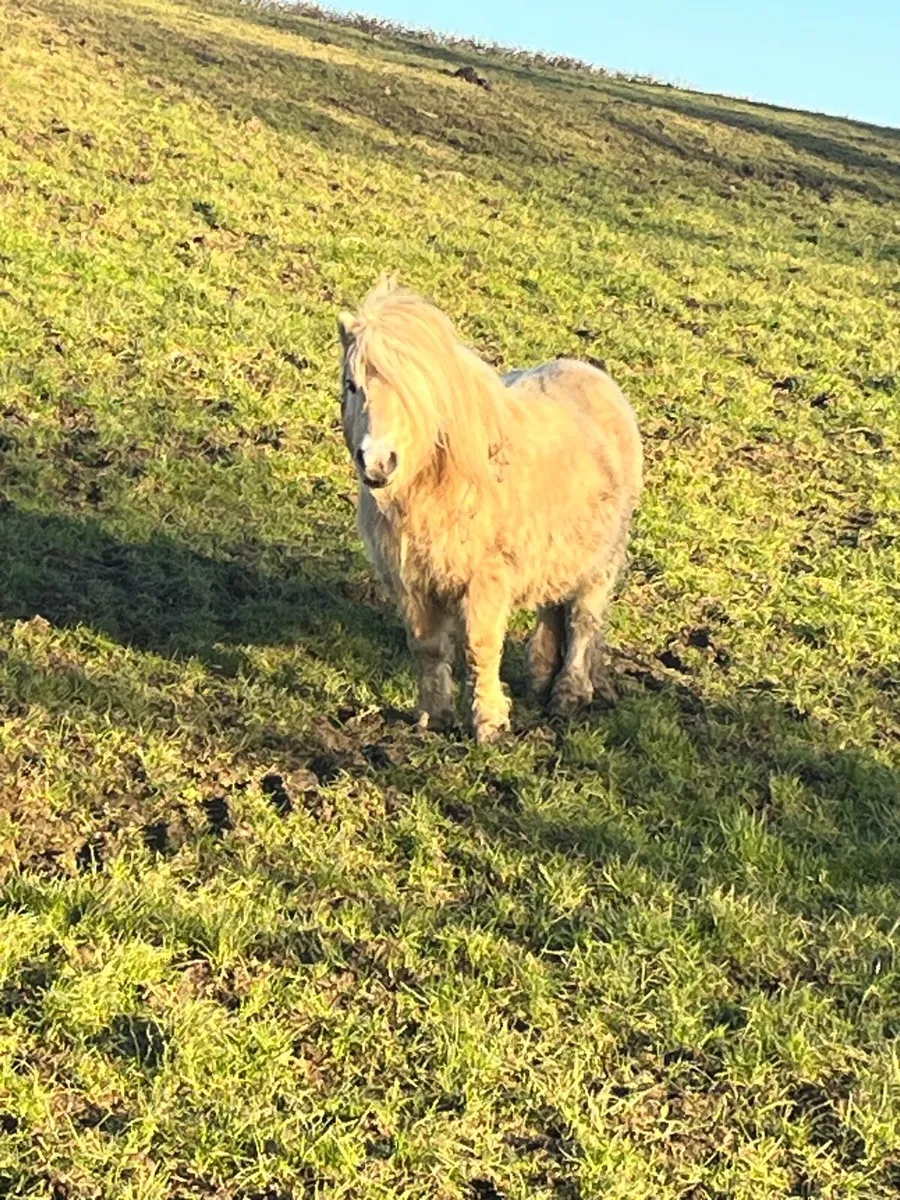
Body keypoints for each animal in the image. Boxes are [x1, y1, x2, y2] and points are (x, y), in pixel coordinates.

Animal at [338, 279, 643, 744]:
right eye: (352, 385)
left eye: (418, 391)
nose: (376, 462)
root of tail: (589, 373)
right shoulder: (411, 580)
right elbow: (427, 646)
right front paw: (433, 716)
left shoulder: (486, 579)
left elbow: (479, 647)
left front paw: (490, 724)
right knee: (554, 609)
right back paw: (541, 678)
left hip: (600, 564)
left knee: (582, 623)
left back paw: (569, 694)